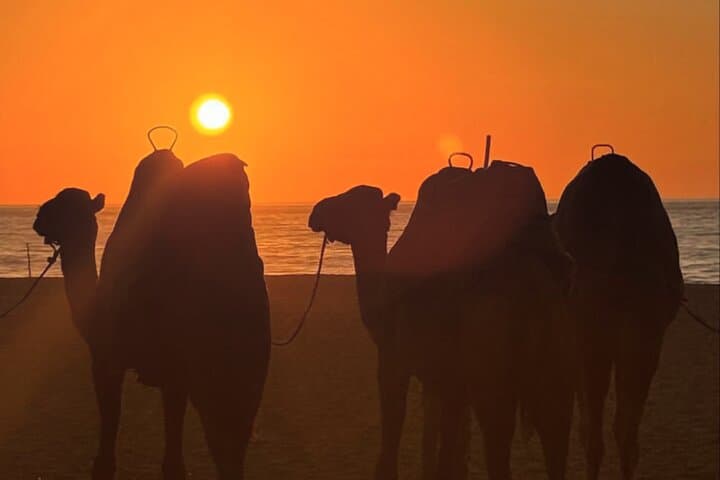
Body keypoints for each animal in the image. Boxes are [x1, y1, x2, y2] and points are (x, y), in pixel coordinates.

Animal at [33, 151, 270, 480]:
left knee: (224, 443)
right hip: (247, 366)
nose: (38, 217)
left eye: (60, 205)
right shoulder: (173, 375)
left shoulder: (107, 358)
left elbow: (108, 442)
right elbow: (173, 457)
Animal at [309, 184, 575, 480]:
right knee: (555, 432)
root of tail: (533, 288)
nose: (316, 212)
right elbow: (448, 443)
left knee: (498, 439)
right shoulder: (448, 380)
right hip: (557, 363)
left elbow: (393, 427)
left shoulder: (394, 360)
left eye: (349, 200)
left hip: (490, 366)